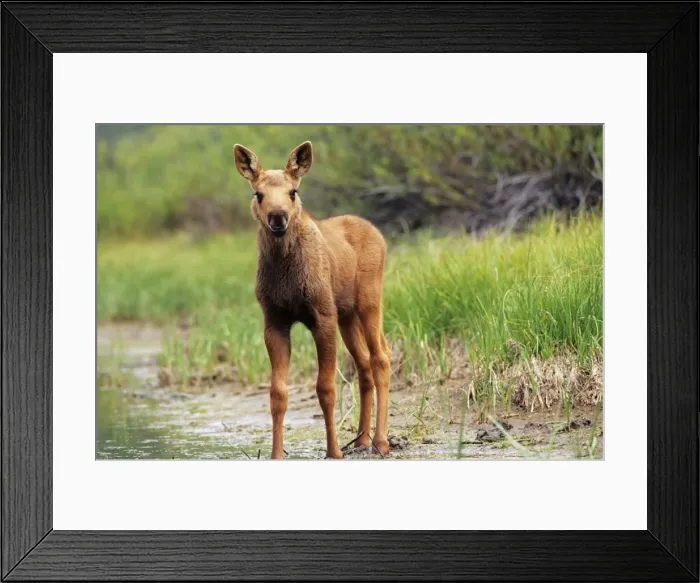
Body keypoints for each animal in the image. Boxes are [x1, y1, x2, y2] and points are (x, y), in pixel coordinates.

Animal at [233, 141, 391, 460]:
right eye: (258, 194)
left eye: (293, 191)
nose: (278, 217)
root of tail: (380, 236)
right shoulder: (275, 321)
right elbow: (278, 393)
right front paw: (276, 454)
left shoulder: (322, 316)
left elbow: (325, 388)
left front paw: (333, 451)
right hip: (347, 315)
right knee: (364, 365)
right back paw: (361, 439)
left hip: (369, 302)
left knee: (381, 357)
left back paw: (380, 442)